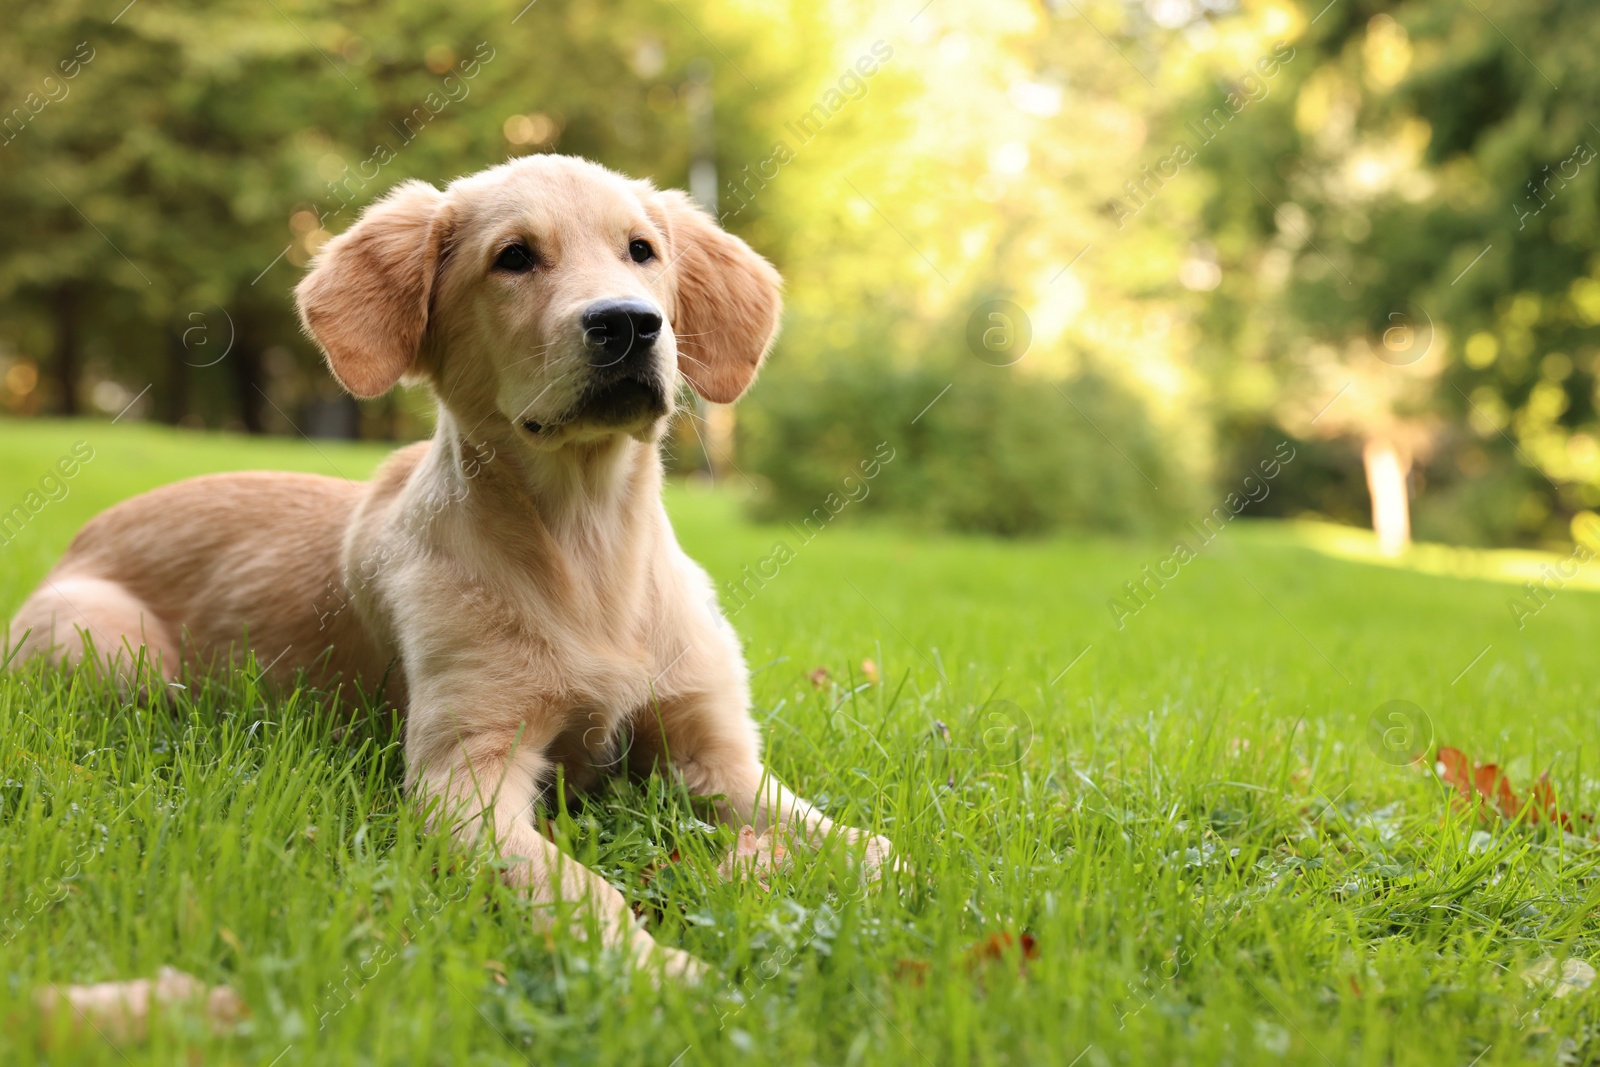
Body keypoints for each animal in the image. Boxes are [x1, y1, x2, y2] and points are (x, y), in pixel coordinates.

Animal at [9, 156, 889, 979]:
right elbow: (583, 888)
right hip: (113, 650)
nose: (630, 324)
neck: (589, 544)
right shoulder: (464, 774)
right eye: (514, 257)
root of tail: (81, 534)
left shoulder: (716, 749)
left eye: (642, 251)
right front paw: (659, 971)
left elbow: (863, 842)